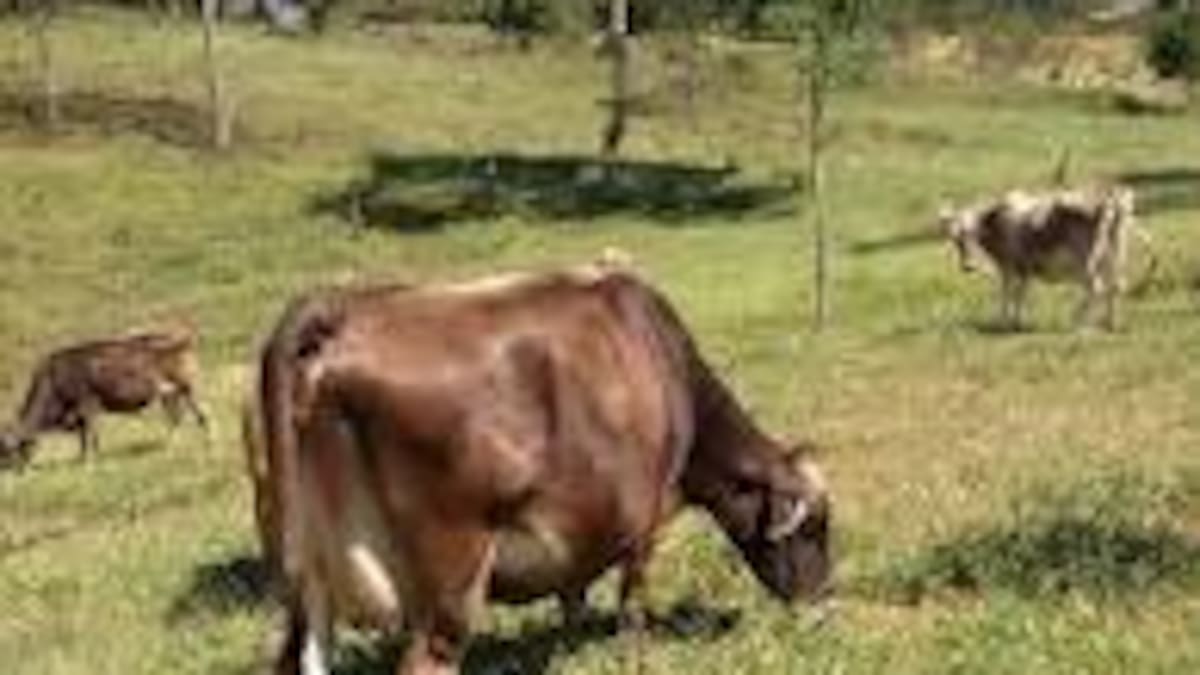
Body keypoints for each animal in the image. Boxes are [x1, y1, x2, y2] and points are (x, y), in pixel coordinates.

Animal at [0, 326, 209, 470]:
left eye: (7, 453)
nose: (15, 472)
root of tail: (182, 338)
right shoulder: (81, 414)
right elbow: (84, 439)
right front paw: (83, 460)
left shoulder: (87, 407)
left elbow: (90, 437)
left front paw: (89, 463)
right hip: (169, 394)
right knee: (176, 418)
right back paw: (169, 447)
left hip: (187, 387)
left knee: (202, 414)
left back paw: (207, 442)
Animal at [248, 263, 831, 675]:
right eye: (816, 529)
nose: (823, 601)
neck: (665, 366)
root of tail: (341, 310)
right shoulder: (644, 523)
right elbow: (632, 606)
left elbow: (572, 597)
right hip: (451, 581)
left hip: (308, 579)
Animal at [940, 183, 1151, 330]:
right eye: (955, 238)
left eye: (973, 233)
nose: (968, 266)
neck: (999, 220)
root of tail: (1110, 198)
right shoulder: (1023, 269)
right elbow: (1020, 293)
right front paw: (1017, 322)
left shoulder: (1008, 266)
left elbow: (1008, 292)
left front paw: (1005, 322)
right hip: (1114, 257)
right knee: (1116, 286)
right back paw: (1110, 324)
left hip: (1086, 262)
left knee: (1096, 288)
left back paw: (1078, 323)